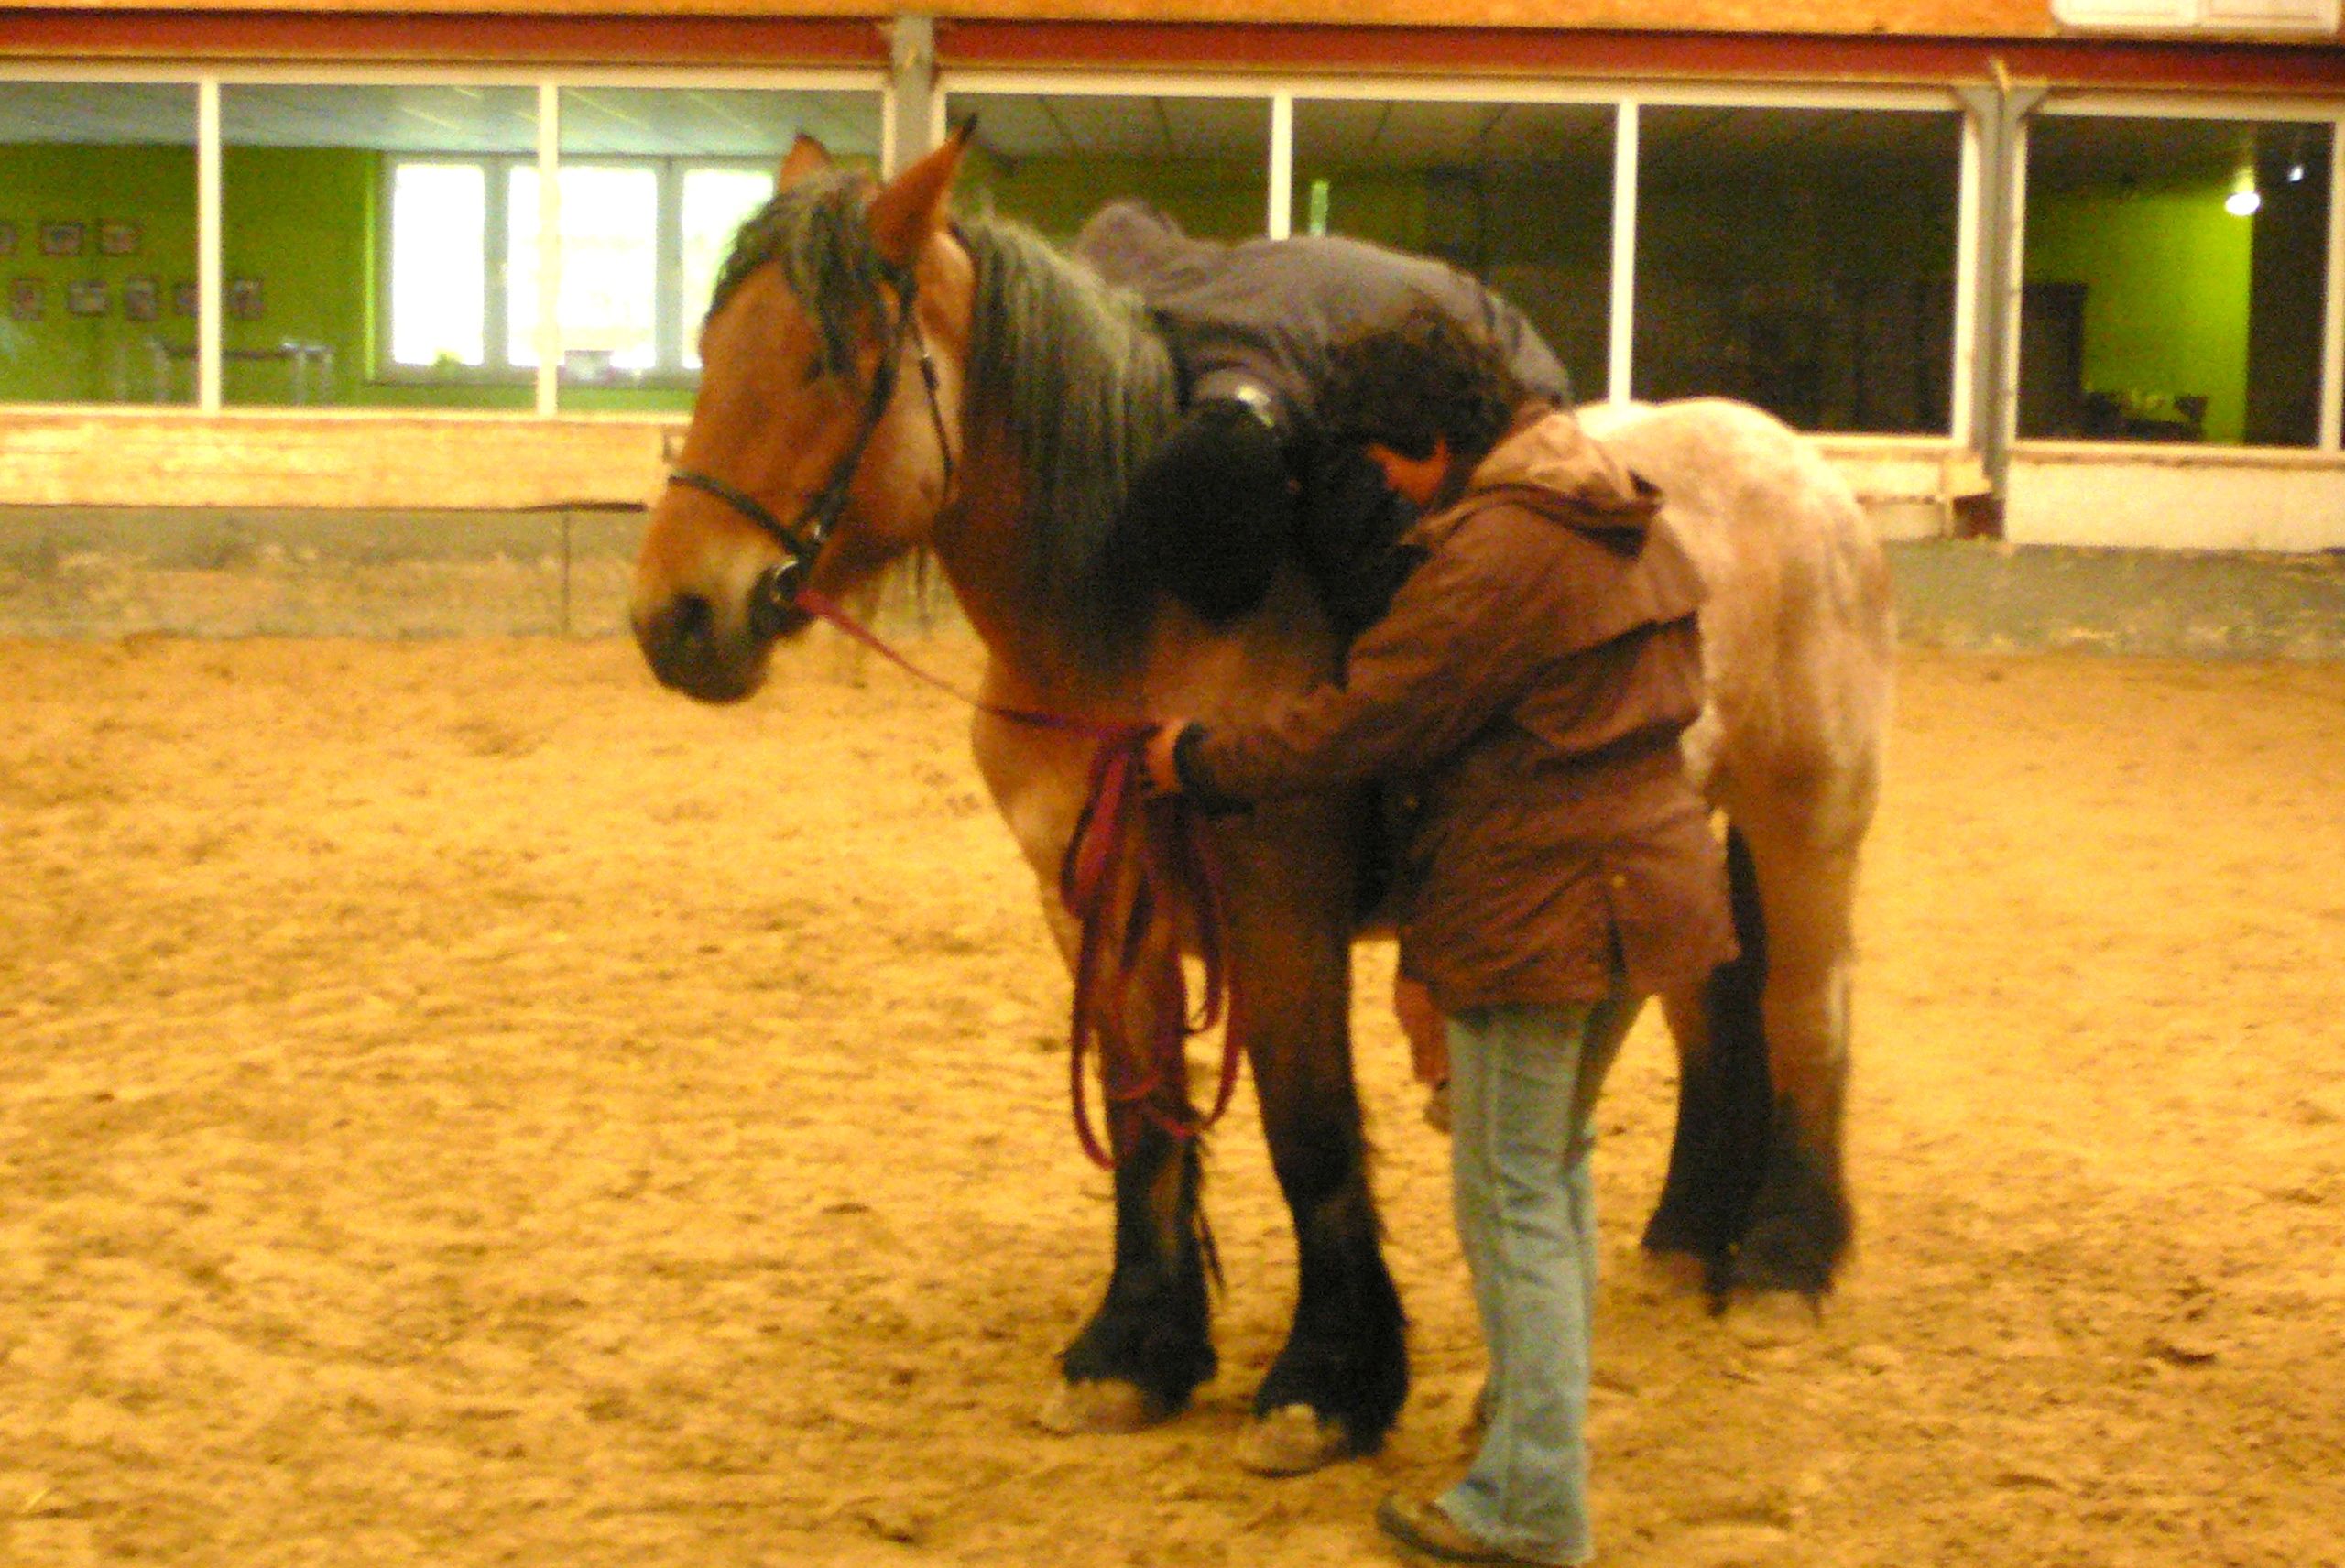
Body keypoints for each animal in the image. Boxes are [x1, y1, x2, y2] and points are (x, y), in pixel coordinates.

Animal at [628, 127, 1894, 1475]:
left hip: (1806, 823)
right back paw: (1685, 1237)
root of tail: (1803, 470)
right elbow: (1141, 1120)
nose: (674, 617)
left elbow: (1310, 1127)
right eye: (712, 350)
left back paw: (1782, 1262)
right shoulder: (1089, 904)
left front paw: (1327, 1381)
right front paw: (1134, 1350)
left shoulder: (1281, 902)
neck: (1144, 608)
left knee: (1805, 1010)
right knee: (1707, 1011)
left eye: (830, 362)